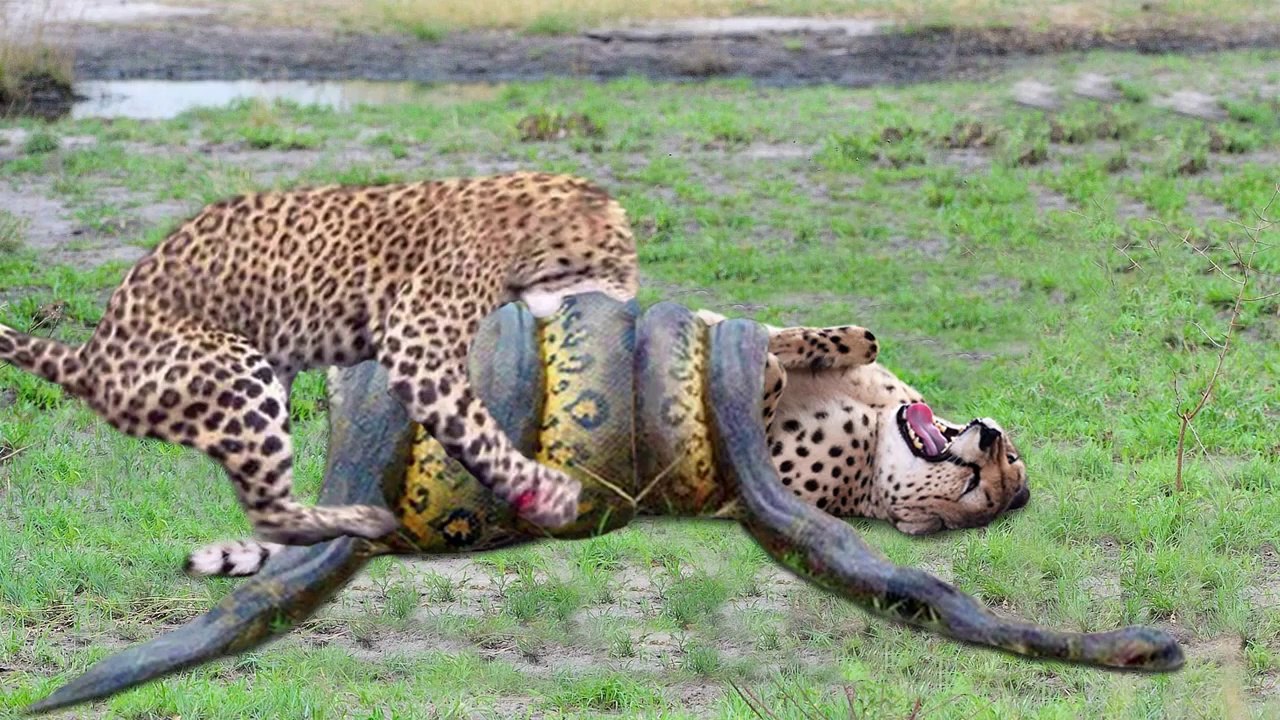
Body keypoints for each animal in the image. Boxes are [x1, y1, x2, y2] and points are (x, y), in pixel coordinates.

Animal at [0, 171, 637, 555]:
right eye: (623, 256)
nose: (634, 297)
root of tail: (91, 355)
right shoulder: (418, 349)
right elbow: (480, 431)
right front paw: (545, 491)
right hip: (239, 370)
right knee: (271, 513)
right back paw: (359, 521)